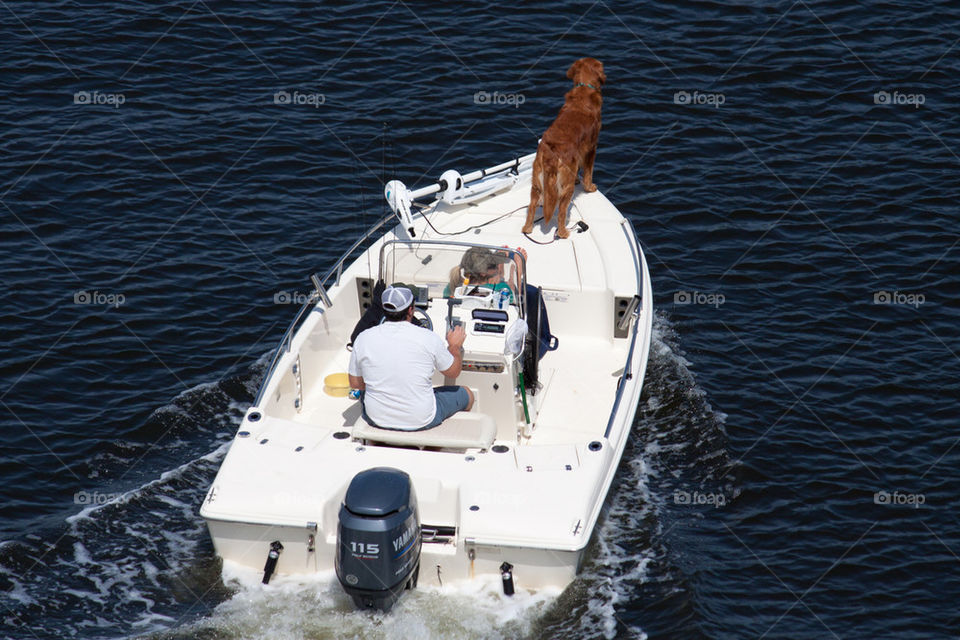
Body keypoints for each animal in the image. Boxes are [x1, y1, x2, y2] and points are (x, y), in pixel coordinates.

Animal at [520, 56, 604, 238]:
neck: (584, 87)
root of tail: (551, 155)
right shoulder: (591, 148)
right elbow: (589, 171)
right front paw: (589, 187)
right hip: (566, 188)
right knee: (561, 211)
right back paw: (563, 232)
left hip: (537, 183)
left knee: (531, 206)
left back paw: (527, 228)